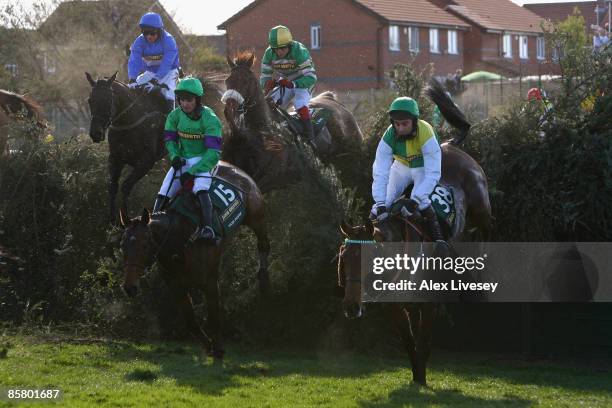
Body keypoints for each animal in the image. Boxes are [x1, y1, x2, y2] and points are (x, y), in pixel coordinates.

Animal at [120, 161, 268, 358]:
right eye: (122, 246)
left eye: (144, 245)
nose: (129, 287)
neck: (179, 239)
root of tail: (230, 165)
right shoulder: (175, 285)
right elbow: (190, 322)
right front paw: (208, 346)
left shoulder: (209, 281)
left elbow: (214, 316)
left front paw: (218, 348)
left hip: (256, 216)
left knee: (263, 243)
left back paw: (264, 278)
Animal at [221, 51, 364, 190]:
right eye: (227, 81)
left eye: (245, 81)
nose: (229, 111)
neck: (263, 130)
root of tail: (330, 98)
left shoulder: (273, 177)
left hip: (353, 155)